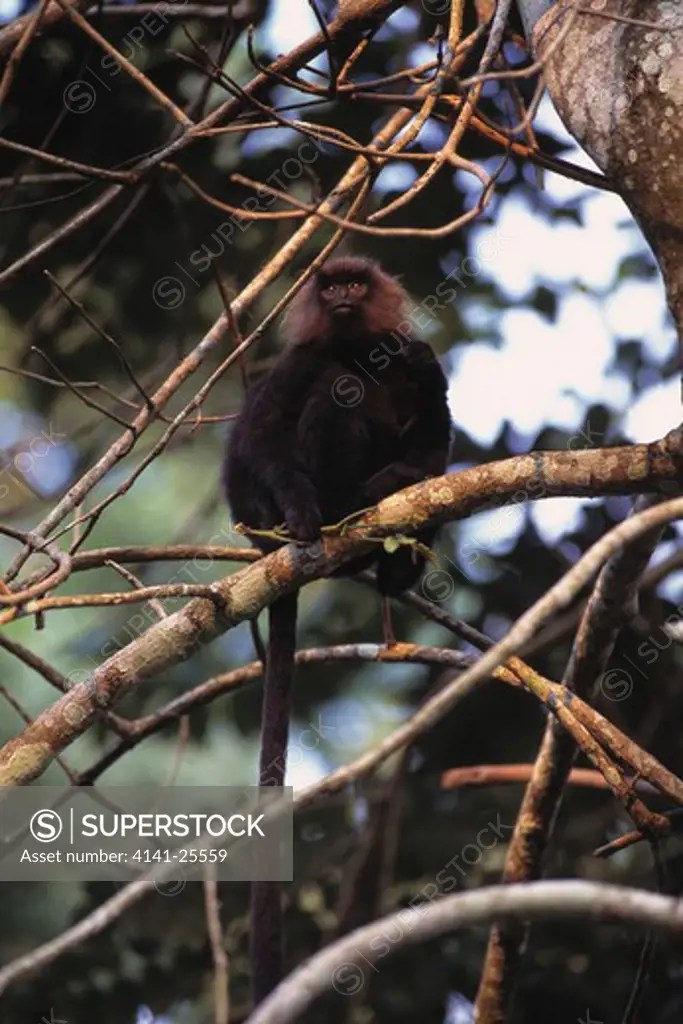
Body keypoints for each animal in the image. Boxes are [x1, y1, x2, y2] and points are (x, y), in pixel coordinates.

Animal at [223, 256, 451, 1004]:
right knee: (329, 399)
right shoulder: (300, 360)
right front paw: (301, 513)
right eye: (330, 288)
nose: (344, 295)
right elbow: (261, 436)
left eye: (355, 283)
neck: (355, 347)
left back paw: (394, 554)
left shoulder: (409, 353)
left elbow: (434, 429)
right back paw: (329, 514)